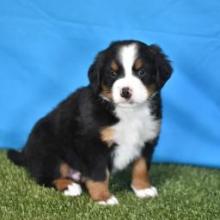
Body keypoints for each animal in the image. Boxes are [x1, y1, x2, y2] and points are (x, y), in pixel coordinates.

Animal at [6, 39, 173, 205]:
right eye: (112, 73)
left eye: (141, 72)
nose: (125, 91)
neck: (129, 113)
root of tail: (26, 153)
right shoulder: (92, 144)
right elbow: (99, 173)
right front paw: (103, 197)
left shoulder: (147, 138)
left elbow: (141, 167)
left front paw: (143, 188)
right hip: (48, 152)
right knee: (45, 177)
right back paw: (69, 186)